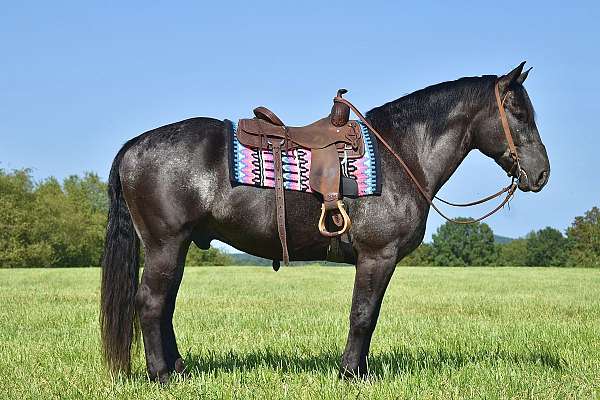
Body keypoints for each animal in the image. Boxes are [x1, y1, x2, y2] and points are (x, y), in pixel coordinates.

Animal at [99, 62, 548, 382]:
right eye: (518, 111)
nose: (541, 174)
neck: (402, 154)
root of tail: (135, 145)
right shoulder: (377, 256)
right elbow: (363, 314)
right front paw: (351, 374)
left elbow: (367, 315)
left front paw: (358, 370)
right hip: (165, 244)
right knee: (151, 303)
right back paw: (160, 375)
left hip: (177, 246)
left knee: (165, 305)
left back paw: (178, 369)